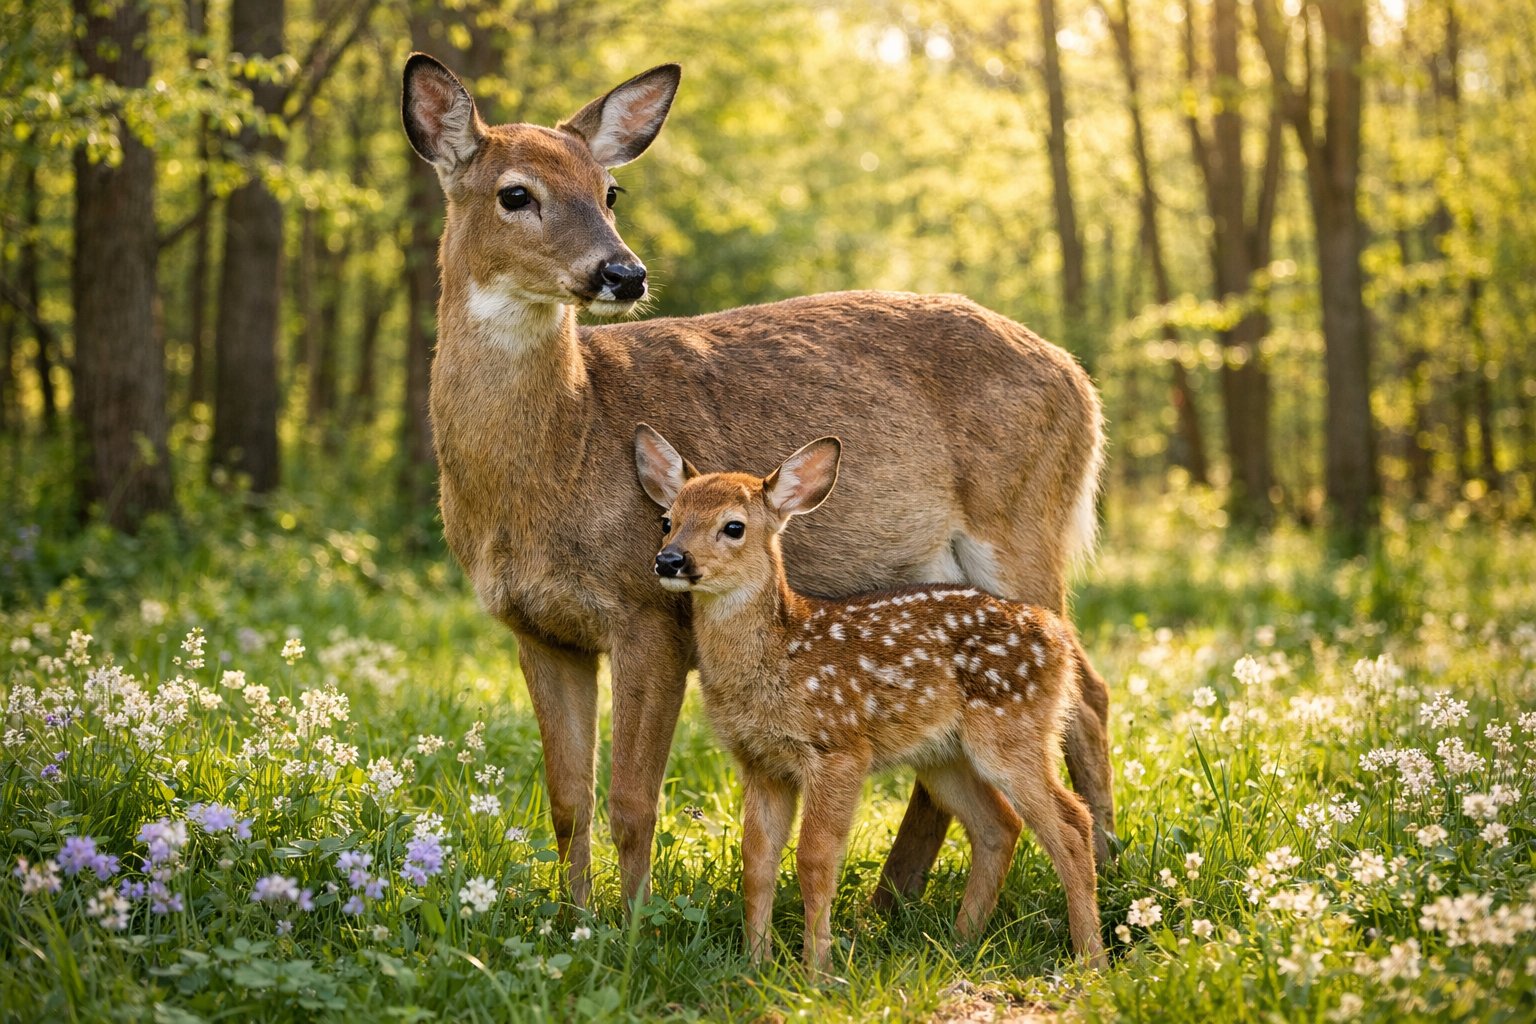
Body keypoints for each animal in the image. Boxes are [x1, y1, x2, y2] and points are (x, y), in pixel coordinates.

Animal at [400, 52, 1117, 914]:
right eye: (515, 193)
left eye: (610, 190)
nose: (623, 272)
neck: (561, 449)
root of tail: (1081, 383)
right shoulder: (538, 629)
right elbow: (567, 799)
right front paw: (572, 920)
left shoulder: (647, 613)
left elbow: (632, 799)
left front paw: (629, 924)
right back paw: (895, 900)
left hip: (1024, 530)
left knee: (1087, 695)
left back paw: (1106, 873)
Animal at [633, 425, 1106, 970]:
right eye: (668, 520)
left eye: (733, 526)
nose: (670, 559)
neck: (780, 657)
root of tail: (1056, 637)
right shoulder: (761, 762)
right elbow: (757, 861)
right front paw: (756, 965)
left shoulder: (838, 748)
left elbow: (814, 859)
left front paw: (817, 969)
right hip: (942, 754)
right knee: (999, 825)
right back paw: (960, 944)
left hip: (1014, 728)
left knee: (1070, 823)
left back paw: (1090, 957)